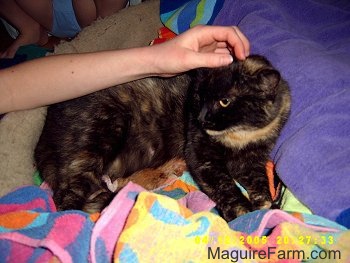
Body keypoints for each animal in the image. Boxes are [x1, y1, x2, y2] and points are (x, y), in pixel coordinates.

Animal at [34, 54, 290, 222]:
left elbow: (259, 179)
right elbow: (224, 185)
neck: (240, 136)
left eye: (224, 101)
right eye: (198, 96)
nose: (201, 117)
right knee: (65, 197)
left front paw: (264, 202)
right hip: (97, 139)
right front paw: (242, 212)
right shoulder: (201, 156)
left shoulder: (252, 159)